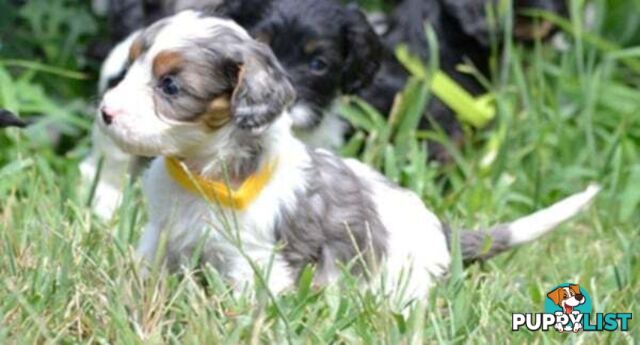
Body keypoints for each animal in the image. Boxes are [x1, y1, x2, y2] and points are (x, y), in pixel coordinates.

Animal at [99, 10, 600, 300]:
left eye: (170, 87)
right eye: (133, 63)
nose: (104, 112)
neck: (201, 175)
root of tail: (443, 231)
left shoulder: (256, 261)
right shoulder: (162, 233)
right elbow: (143, 269)